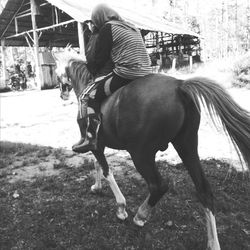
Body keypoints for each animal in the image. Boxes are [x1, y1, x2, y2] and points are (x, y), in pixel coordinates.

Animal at [55, 51, 250, 250]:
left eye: (57, 72)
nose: (62, 94)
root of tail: (180, 86)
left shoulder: (97, 146)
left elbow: (107, 171)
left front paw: (121, 208)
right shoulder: (99, 146)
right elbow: (98, 166)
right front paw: (97, 187)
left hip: (141, 155)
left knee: (159, 186)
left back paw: (140, 216)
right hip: (187, 146)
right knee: (204, 191)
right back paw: (213, 242)